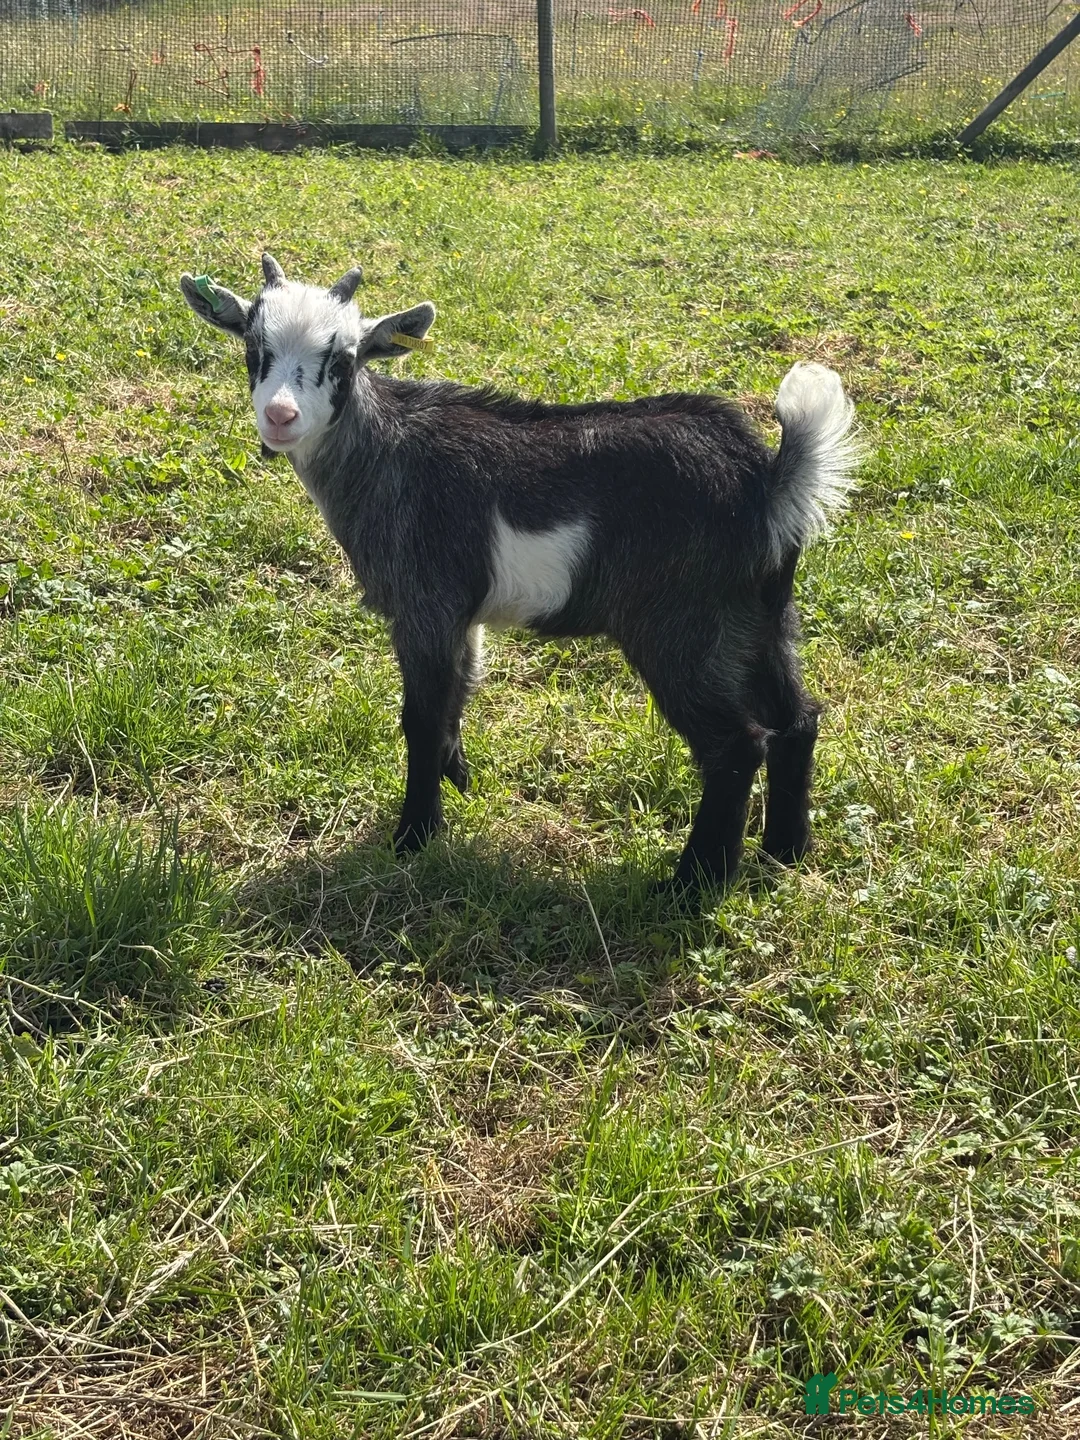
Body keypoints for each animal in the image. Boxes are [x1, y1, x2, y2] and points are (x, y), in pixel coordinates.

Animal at [180, 253, 857, 893]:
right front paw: (460, 783)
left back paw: (690, 886)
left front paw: (414, 837)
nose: (280, 417)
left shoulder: (425, 602)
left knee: (736, 744)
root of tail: (767, 482)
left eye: (343, 360)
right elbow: (459, 692)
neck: (387, 452)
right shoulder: (463, 613)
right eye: (254, 348)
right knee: (797, 719)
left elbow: (421, 717)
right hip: (761, 617)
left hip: (682, 629)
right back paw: (784, 851)